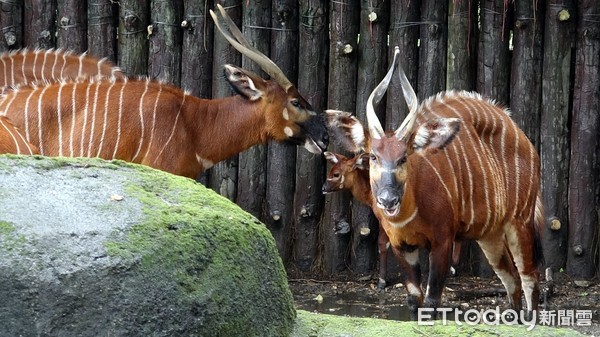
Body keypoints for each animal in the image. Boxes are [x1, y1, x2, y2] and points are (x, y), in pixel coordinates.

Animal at [326, 46, 548, 318]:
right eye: (374, 156)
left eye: (404, 157)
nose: (388, 200)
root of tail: (526, 141)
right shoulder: (402, 246)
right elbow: (414, 300)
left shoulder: (443, 241)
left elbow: (431, 302)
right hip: (490, 234)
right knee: (511, 279)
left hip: (520, 222)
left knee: (530, 278)